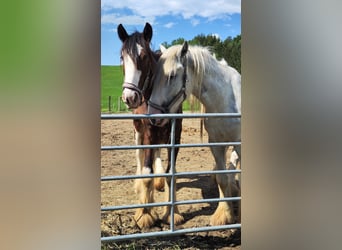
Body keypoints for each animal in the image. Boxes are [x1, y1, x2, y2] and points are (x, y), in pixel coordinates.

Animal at [117, 23, 183, 229]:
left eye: (144, 56)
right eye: (122, 58)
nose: (130, 97)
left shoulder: (175, 135)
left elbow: (171, 172)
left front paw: (173, 213)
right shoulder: (147, 133)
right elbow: (146, 172)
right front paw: (145, 214)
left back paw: (159, 182)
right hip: (138, 133)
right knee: (140, 158)